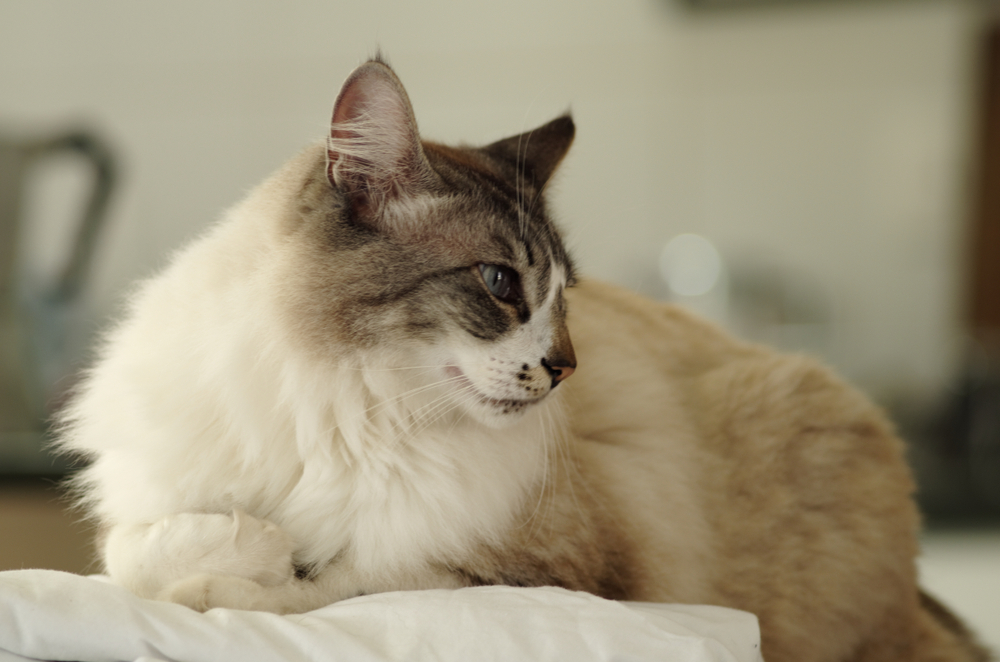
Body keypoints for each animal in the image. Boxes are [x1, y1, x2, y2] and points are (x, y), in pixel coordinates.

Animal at [58, 57, 988, 662]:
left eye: (564, 297)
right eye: (502, 283)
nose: (567, 369)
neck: (347, 401)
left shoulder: (505, 570)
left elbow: (324, 589)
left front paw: (246, 575)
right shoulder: (142, 505)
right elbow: (135, 554)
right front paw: (248, 547)